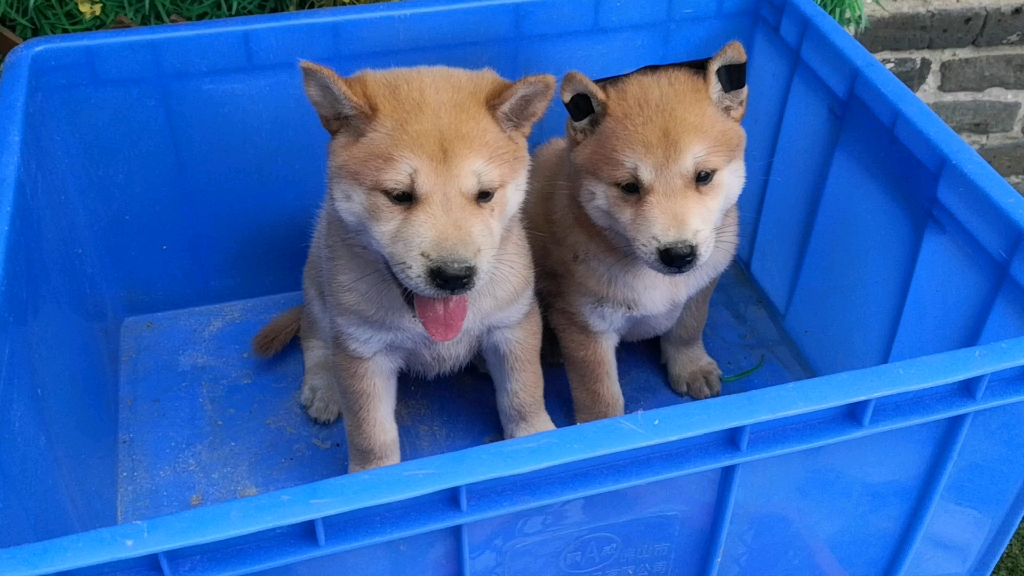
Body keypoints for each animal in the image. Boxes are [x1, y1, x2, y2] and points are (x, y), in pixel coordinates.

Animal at [256, 61, 561, 471]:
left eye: (485, 195)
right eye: (399, 196)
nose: (454, 276)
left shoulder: (513, 324)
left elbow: (523, 392)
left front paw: (537, 438)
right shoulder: (363, 350)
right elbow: (371, 434)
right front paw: (371, 477)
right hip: (318, 287)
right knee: (313, 334)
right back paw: (325, 387)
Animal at [524, 41, 749, 422]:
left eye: (704, 176)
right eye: (629, 187)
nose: (679, 254)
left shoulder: (700, 289)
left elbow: (687, 331)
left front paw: (691, 367)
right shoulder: (586, 325)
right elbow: (599, 395)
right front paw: (601, 426)